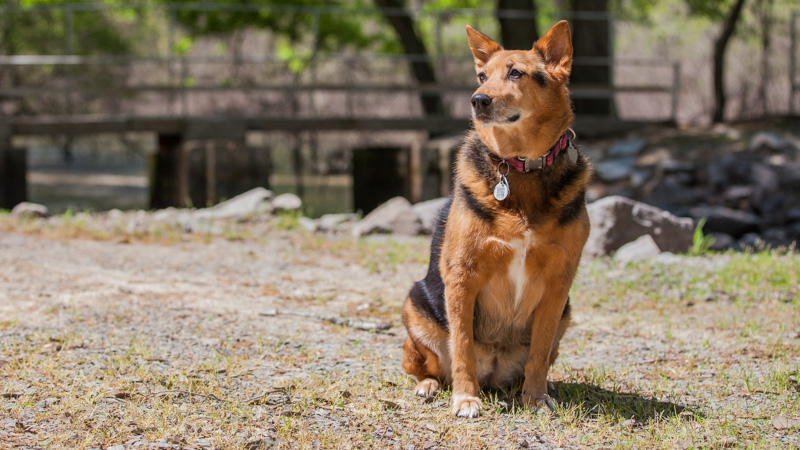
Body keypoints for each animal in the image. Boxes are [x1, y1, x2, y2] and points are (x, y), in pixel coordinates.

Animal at [404, 22, 592, 418]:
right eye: (481, 76)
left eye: (516, 73)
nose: (478, 100)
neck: (521, 165)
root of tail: (493, 372)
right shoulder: (462, 275)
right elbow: (461, 347)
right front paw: (465, 398)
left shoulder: (558, 283)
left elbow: (538, 353)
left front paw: (536, 398)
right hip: (414, 309)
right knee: (427, 365)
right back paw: (429, 386)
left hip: (566, 313)